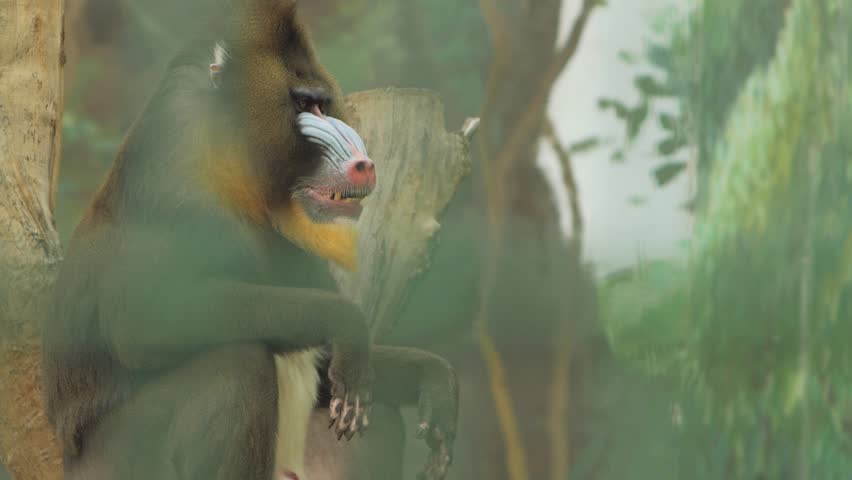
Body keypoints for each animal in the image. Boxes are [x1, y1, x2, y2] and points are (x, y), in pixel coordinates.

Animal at [42, 1, 458, 479]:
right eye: (302, 104)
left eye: (322, 102)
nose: (364, 165)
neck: (239, 174)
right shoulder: (171, 166)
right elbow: (141, 321)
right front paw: (349, 323)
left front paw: (434, 379)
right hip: (122, 460)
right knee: (235, 362)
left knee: (380, 411)